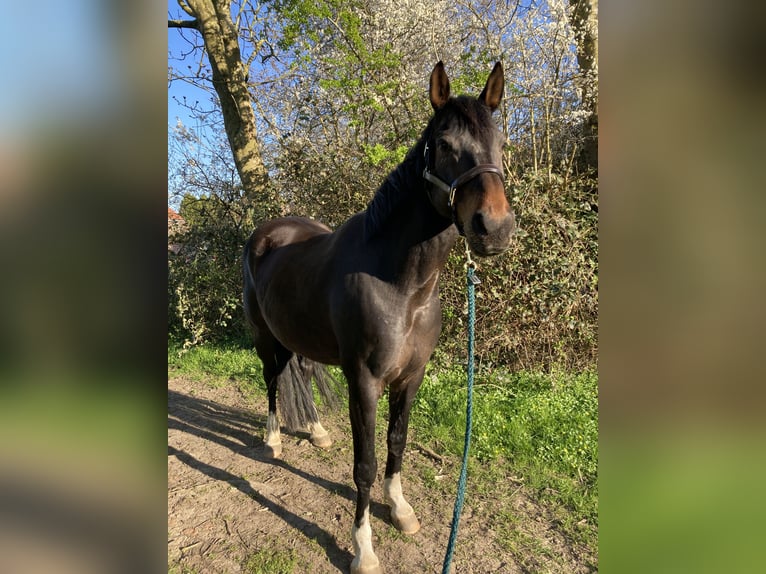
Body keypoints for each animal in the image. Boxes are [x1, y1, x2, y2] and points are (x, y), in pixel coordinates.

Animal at [246, 63, 516, 574]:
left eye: (501, 143)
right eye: (444, 144)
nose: (494, 229)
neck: (401, 287)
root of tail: (266, 232)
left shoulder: (410, 377)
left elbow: (397, 442)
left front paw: (401, 509)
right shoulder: (365, 381)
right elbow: (365, 464)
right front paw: (363, 548)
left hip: (302, 336)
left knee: (301, 372)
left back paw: (316, 431)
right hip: (265, 336)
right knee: (272, 380)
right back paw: (272, 439)